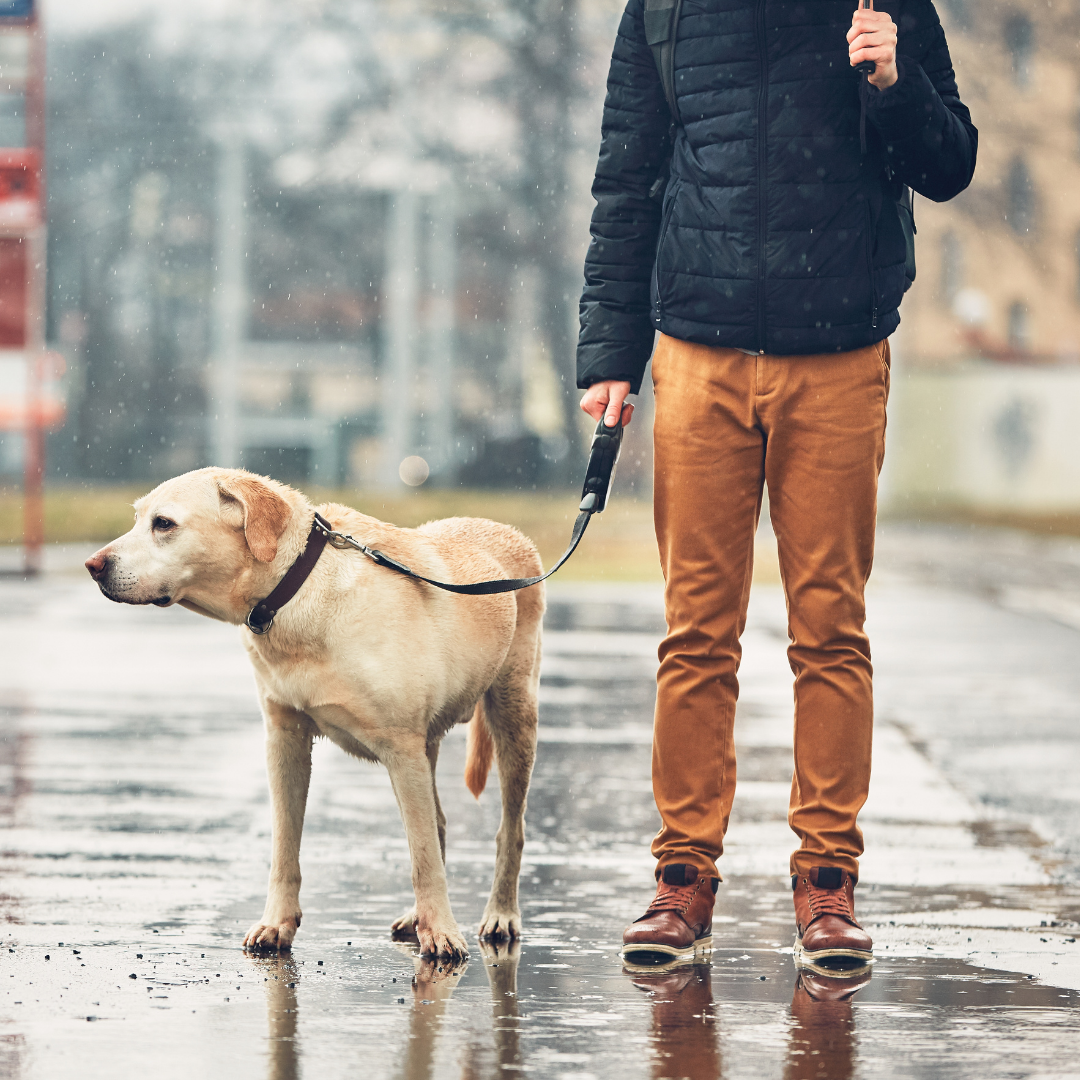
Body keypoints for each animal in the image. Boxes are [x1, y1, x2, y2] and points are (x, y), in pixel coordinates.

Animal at [85, 468, 544, 959]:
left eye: (164, 524)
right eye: (138, 519)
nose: (93, 565)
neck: (296, 589)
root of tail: (505, 529)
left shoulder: (402, 749)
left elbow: (422, 857)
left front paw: (440, 931)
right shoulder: (286, 739)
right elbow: (285, 846)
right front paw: (276, 923)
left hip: (513, 716)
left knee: (508, 831)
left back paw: (500, 915)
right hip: (430, 746)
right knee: (437, 823)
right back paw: (416, 916)